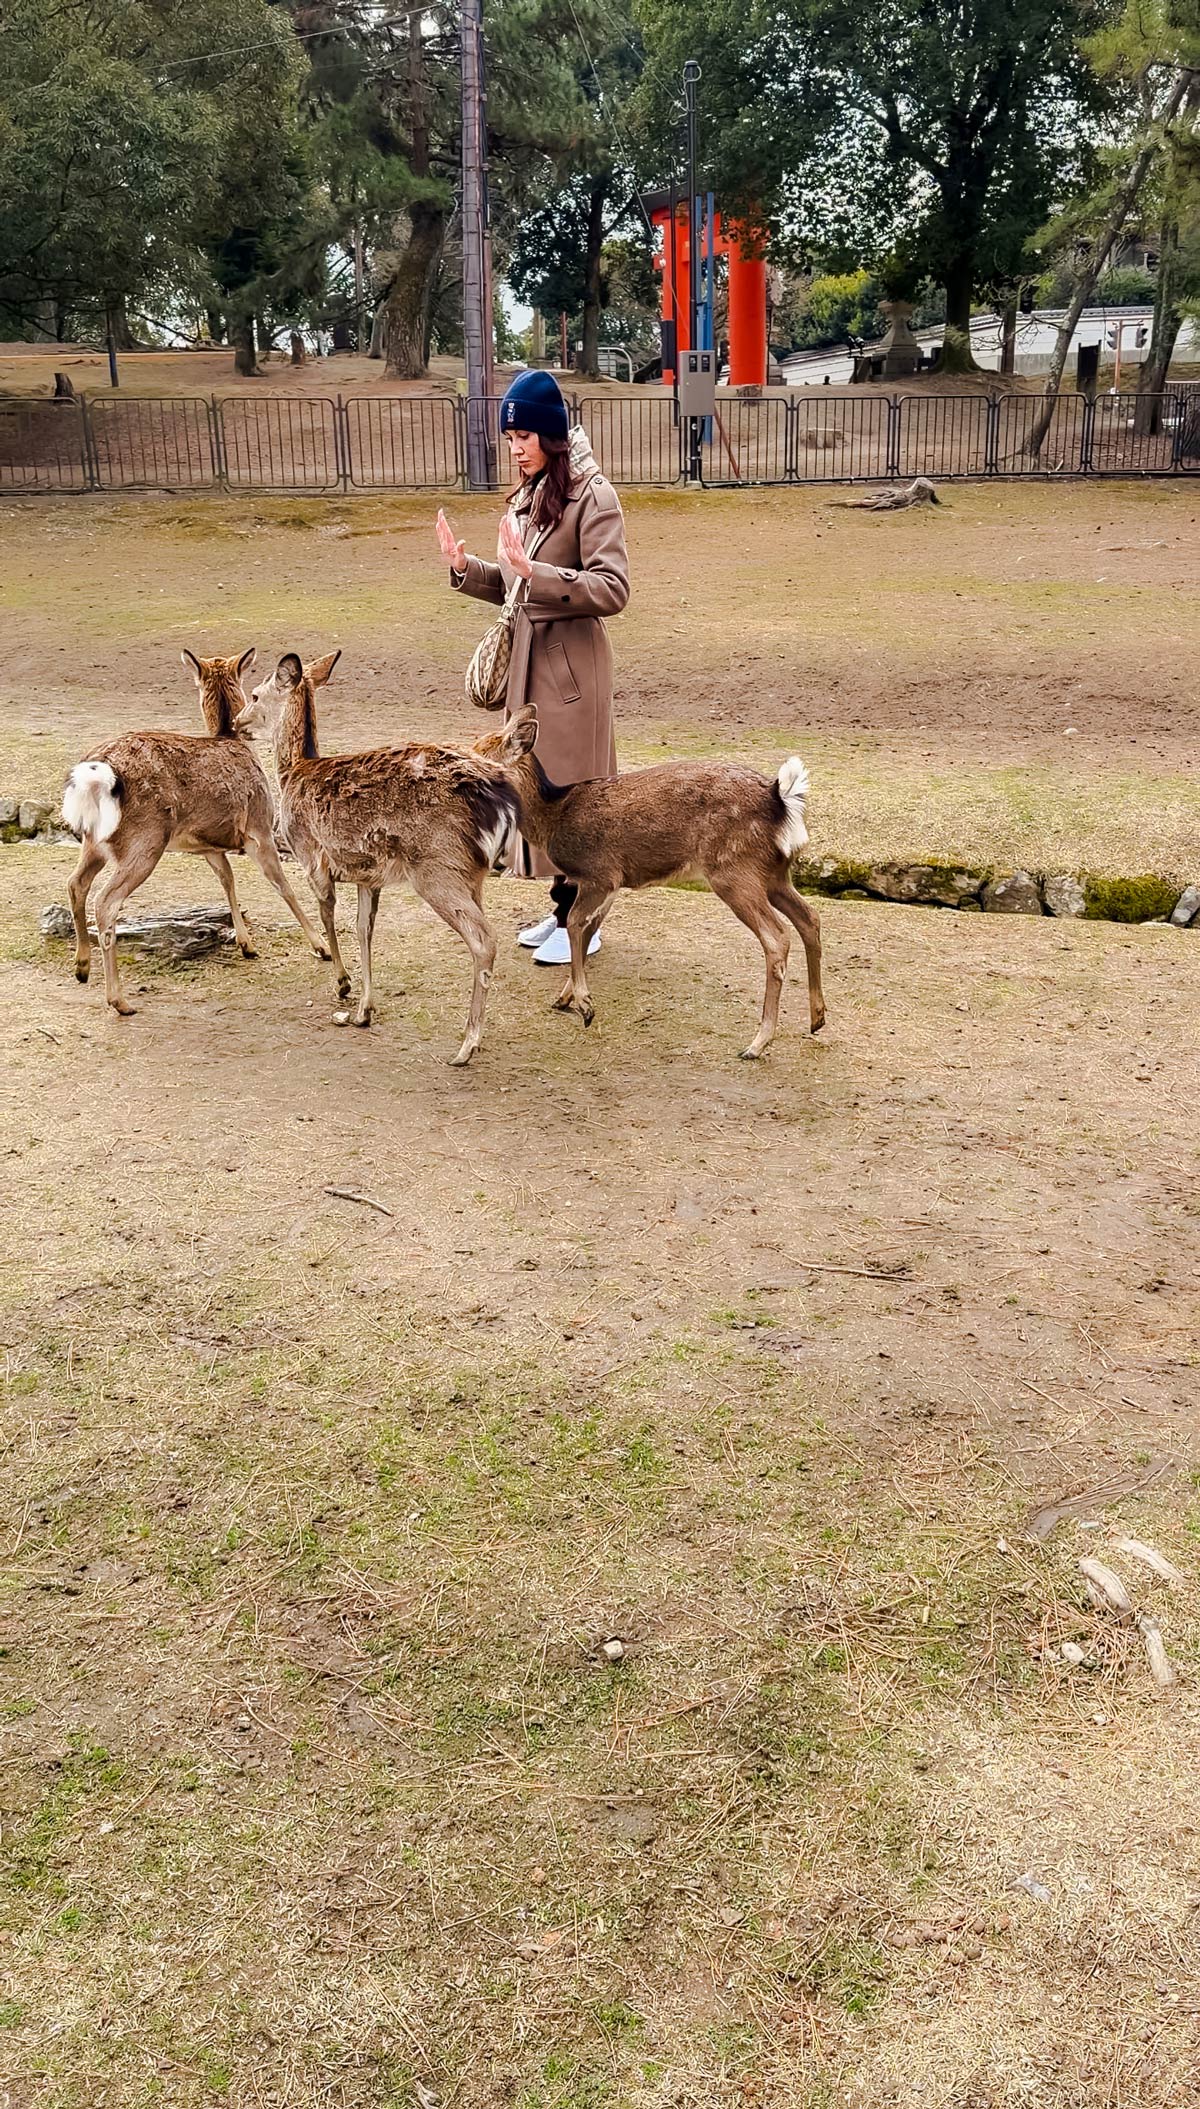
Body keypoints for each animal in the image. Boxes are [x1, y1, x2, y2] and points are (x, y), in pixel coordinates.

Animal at [61, 649, 331, 1015]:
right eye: (254, 693)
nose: (241, 724)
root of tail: (98, 773)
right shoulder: (259, 829)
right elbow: (283, 886)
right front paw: (321, 947)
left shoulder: (207, 846)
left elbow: (227, 880)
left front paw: (247, 944)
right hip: (144, 842)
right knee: (105, 902)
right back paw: (119, 1000)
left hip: (94, 841)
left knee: (76, 884)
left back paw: (82, 966)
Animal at [234, 650, 519, 1066]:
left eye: (255, 694)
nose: (237, 722)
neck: (292, 773)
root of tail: (501, 798)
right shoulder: (368, 875)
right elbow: (363, 929)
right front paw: (364, 1011)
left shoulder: (312, 858)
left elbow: (329, 916)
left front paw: (342, 984)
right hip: (473, 873)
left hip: (437, 867)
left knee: (485, 939)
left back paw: (468, 1044)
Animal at [481, 704, 825, 1059]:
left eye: (482, 753)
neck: (554, 817)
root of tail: (780, 798)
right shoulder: (612, 884)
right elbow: (588, 930)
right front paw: (566, 998)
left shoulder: (600, 873)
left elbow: (576, 923)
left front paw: (586, 1006)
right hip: (775, 873)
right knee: (809, 917)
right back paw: (816, 1018)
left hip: (734, 871)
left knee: (777, 936)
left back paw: (757, 1043)